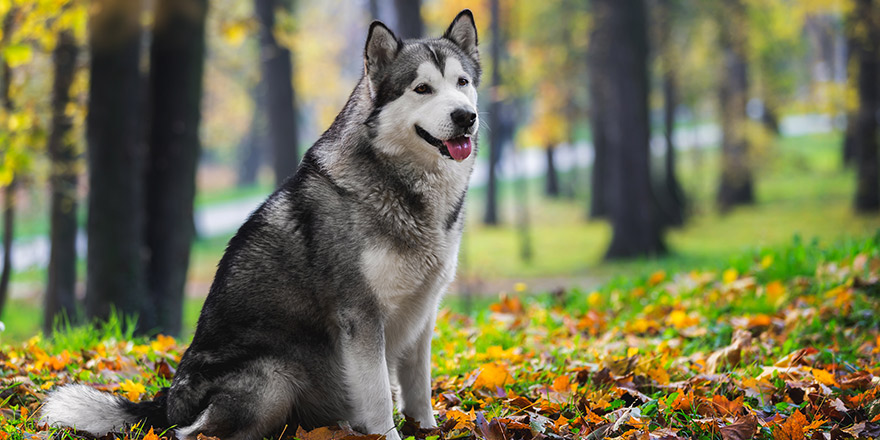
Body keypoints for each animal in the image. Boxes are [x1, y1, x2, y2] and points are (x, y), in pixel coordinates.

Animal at [39, 7, 482, 440]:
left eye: (462, 82)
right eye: (421, 89)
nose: (466, 116)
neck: (403, 186)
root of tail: (167, 405)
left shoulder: (423, 312)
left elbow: (418, 389)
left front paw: (427, 429)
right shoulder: (361, 317)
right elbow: (377, 400)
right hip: (273, 376)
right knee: (193, 433)